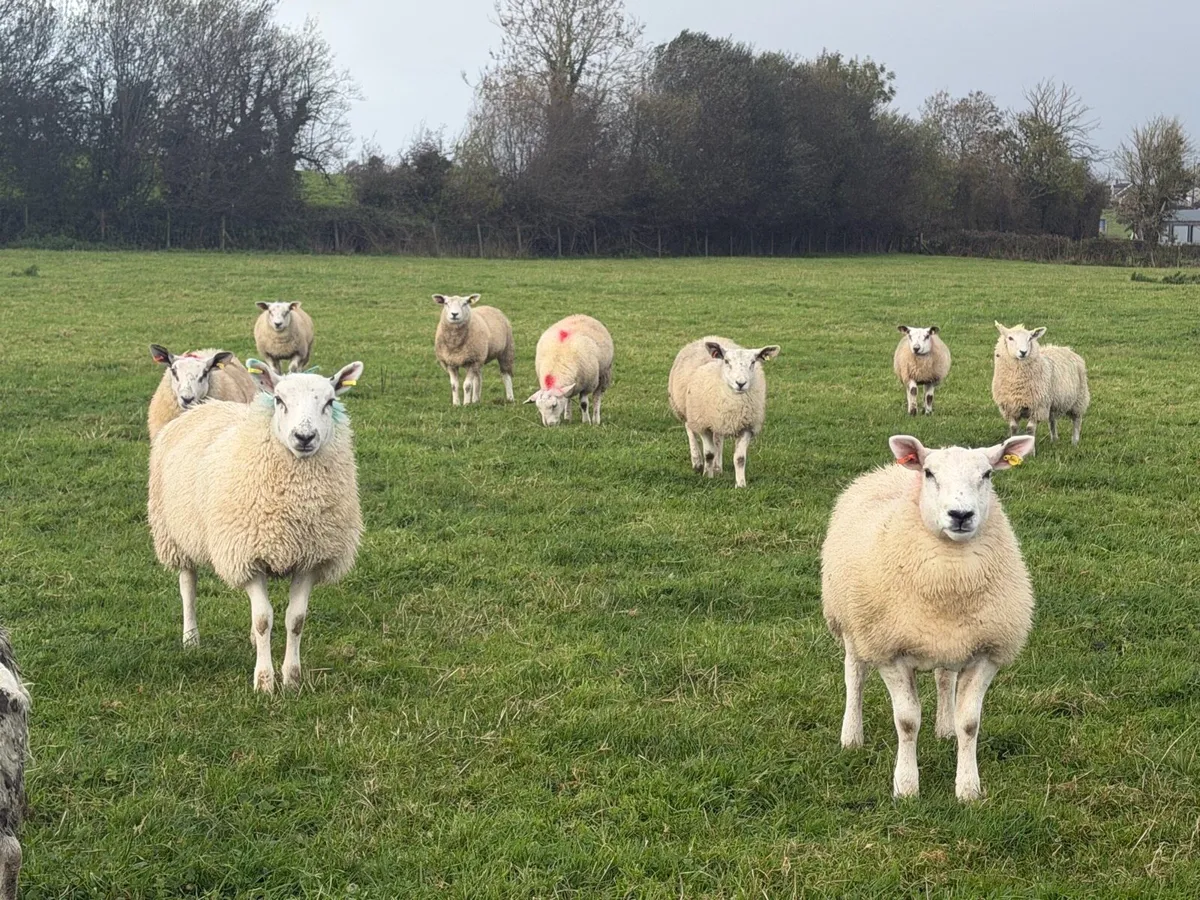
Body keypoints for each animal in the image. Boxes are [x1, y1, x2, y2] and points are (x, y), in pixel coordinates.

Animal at [148, 360, 364, 693]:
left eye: (329, 402)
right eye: (279, 400)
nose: (304, 436)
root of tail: (205, 406)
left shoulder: (309, 559)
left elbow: (295, 620)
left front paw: (292, 679)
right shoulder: (248, 557)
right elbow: (263, 619)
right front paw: (264, 682)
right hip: (174, 534)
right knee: (188, 586)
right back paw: (190, 638)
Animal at [667, 337, 779, 488]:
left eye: (753, 362)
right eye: (726, 361)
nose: (741, 383)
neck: (733, 405)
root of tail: (708, 337)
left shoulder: (746, 427)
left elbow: (740, 458)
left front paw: (741, 485)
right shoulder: (704, 424)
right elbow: (709, 453)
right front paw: (707, 476)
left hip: (718, 419)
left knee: (718, 439)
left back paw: (717, 467)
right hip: (686, 409)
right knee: (689, 430)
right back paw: (697, 462)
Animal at [821, 433, 1036, 801]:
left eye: (987, 474)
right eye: (930, 473)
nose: (960, 514)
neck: (951, 571)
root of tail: (887, 471)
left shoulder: (986, 652)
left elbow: (970, 724)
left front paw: (968, 788)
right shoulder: (890, 652)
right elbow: (907, 721)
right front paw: (906, 786)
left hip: (946, 642)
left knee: (943, 678)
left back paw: (945, 728)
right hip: (852, 624)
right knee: (855, 677)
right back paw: (851, 736)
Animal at [992, 322, 1090, 451]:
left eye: (1030, 338)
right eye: (1010, 338)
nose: (1023, 352)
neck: (1018, 384)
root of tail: (1064, 348)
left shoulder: (1037, 407)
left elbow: (1030, 429)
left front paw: (1031, 452)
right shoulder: (1010, 408)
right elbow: (1013, 428)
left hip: (1079, 399)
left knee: (1077, 420)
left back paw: (1075, 442)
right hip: (1052, 402)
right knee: (1052, 420)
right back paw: (1054, 439)